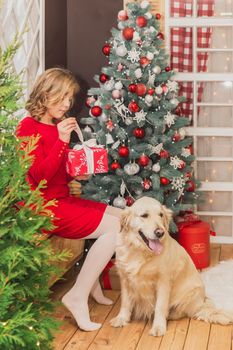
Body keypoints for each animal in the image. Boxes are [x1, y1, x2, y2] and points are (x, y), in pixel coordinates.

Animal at [110, 197, 233, 336]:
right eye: (144, 215)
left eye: (161, 215)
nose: (160, 232)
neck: (139, 251)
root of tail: (202, 302)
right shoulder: (125, 278)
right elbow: (125, 302)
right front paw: (121, 319)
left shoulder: (163, 281)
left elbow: (160, 306)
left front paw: (158, 326)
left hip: (191, 293)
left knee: (185, 312)